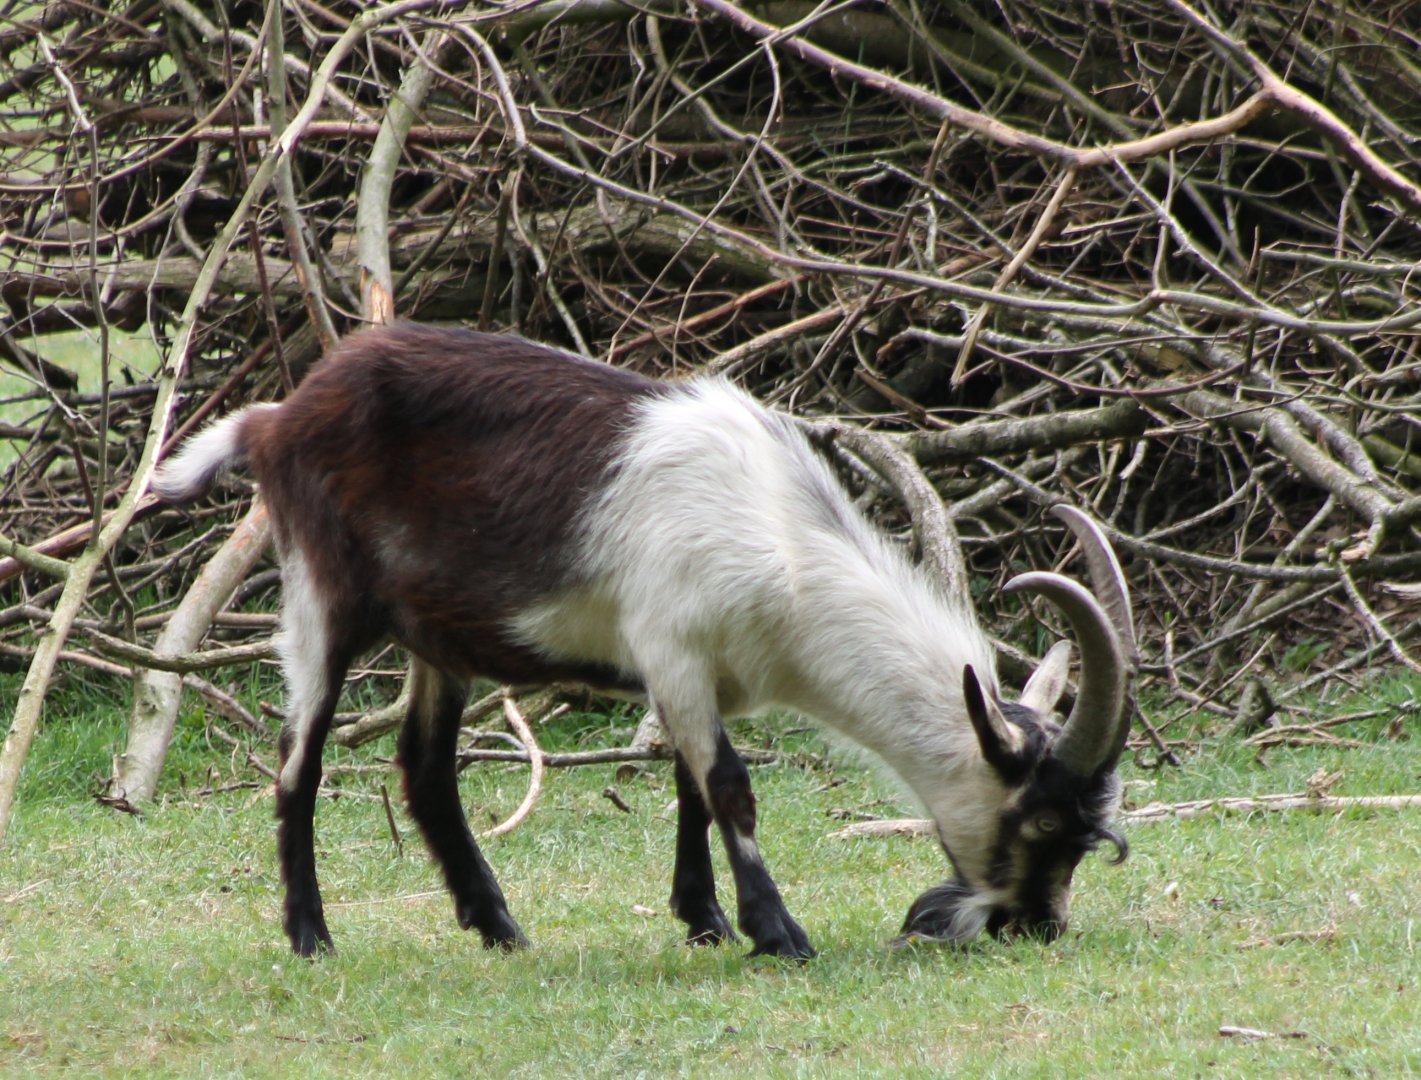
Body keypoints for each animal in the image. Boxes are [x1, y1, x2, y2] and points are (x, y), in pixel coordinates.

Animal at [153, 321, 1136, 959]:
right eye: (1044, 819)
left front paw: (703, 922)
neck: (781, 537)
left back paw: (499, 929)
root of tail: (275, 419)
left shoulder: (698, 676)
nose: (1038, 925)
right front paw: (776, 933)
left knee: (425, 769)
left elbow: (690, 789)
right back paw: (311, 936)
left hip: (439, 638)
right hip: (322, 595)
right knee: (299, 761)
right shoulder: (672, 651)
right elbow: (731, 788)